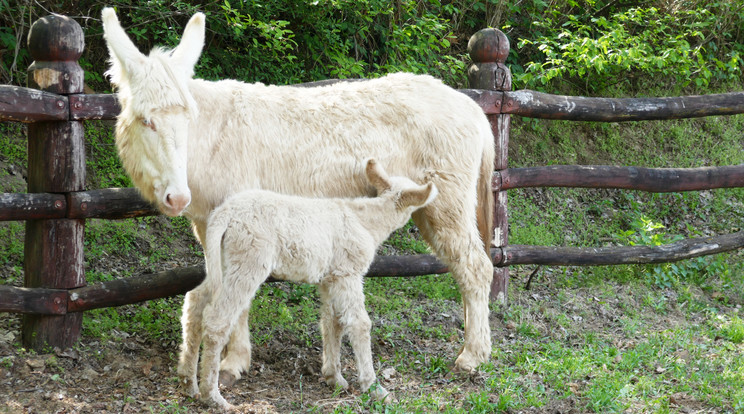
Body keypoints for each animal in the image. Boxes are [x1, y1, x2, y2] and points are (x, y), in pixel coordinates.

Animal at [179, 159, 436, 410]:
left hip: (222, 259)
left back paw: (189, 382)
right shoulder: (348, 272)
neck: (367, 222)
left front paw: (335, 378)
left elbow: (332, 322)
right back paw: (212, 396)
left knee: (195, 301)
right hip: (249, 258)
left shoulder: (330, 277)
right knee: (217, 319)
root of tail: (223, 214)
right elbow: (359, 323)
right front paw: (375, 389)